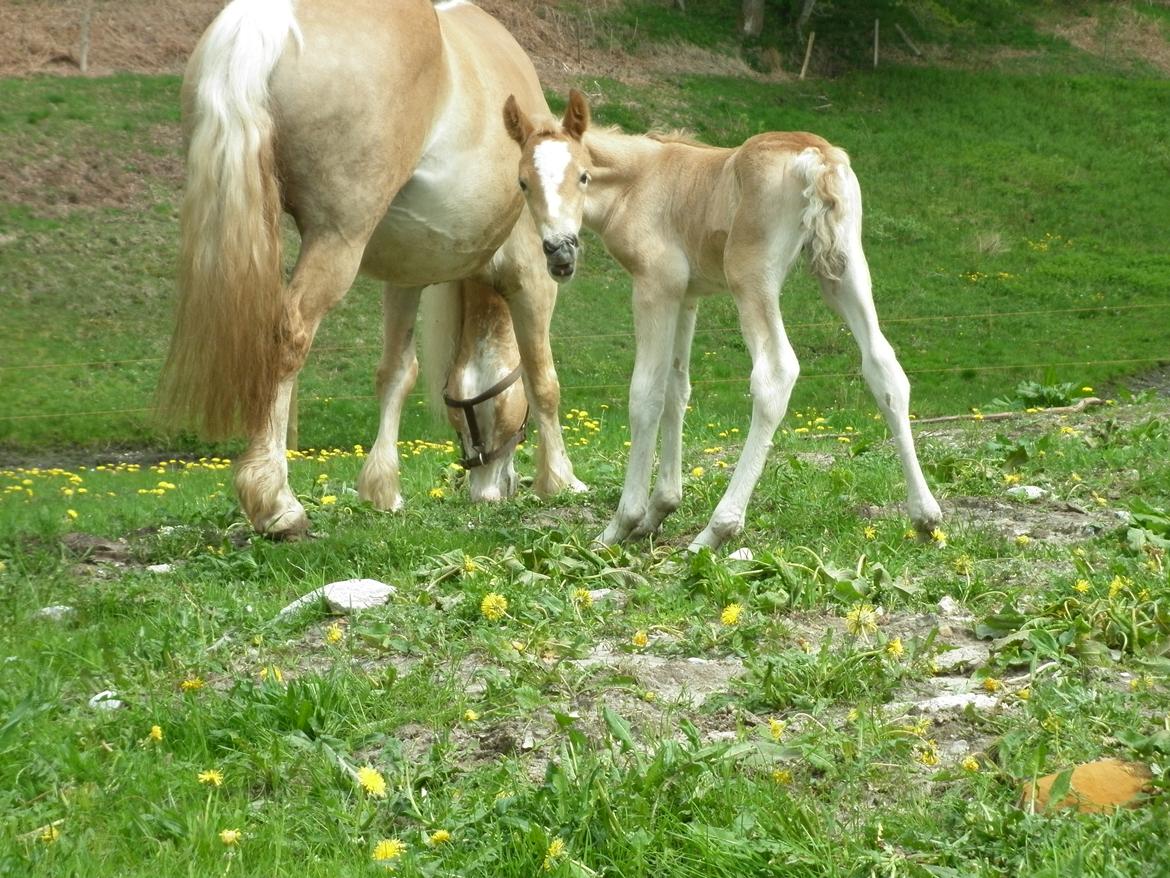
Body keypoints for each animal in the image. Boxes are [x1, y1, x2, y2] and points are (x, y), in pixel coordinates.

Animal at [156, 0, 589, 536]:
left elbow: (396, 373)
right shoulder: (531, 279)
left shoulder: (405, 278)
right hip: (336, 241)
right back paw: (276, 502)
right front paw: (561, 480)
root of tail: (269, 17)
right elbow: (541, 379)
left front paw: (383, 490)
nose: (490, 488)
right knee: (287, 337)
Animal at [503, 93, 940, 552]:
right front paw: (660, 509)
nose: (560, 251)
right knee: (883, 366)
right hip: (845, 267)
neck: (639, 182)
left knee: (775, 373)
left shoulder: (655, 286)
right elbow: (676, 389)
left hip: (751, 278)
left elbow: (646, 393)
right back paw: (925, 517)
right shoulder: (687, 295)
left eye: (583, 176)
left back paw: (717, 529)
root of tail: (815, 156)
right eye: (523, 183)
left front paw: (623, 523)